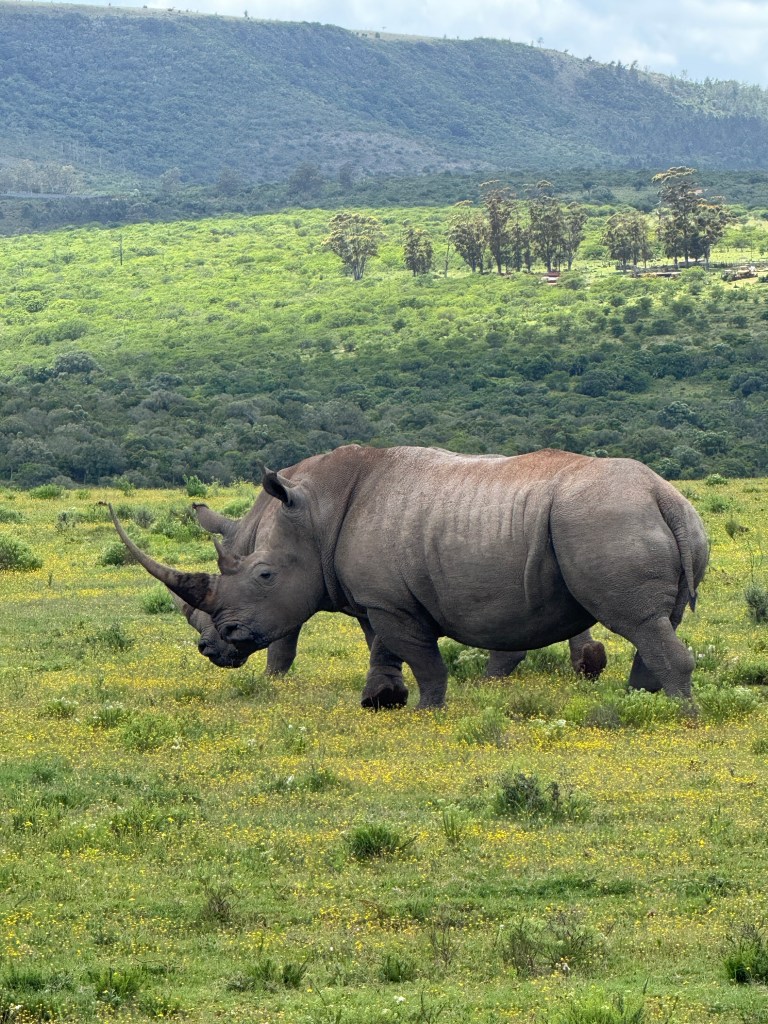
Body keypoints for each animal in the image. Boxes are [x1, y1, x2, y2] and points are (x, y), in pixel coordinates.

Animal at [110, 445, 703, 709]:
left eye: (264, 574)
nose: (214, 648)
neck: (314, 511)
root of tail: (665, 496)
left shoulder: (391, 600)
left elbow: (418, 653)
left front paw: (428, 709)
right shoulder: (374, 595)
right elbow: (381, 645)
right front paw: (381, 702)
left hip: (603, 519)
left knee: (639, 622)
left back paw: (675, 716)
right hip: (632, 519)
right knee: (655, 623)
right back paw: (639, 703)